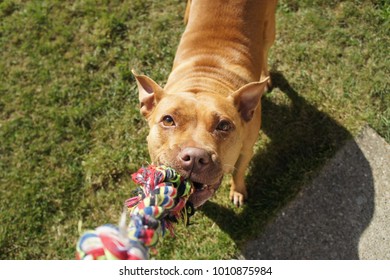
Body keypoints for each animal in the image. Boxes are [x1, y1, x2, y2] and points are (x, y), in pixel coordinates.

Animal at [134, 0, 278, 206]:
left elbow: (238, 172)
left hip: (269, 30)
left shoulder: (246, 150)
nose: (195, 157)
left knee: (265, 52)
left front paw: (237, 191)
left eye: (224, 126)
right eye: (168, 120)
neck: (205, 80)